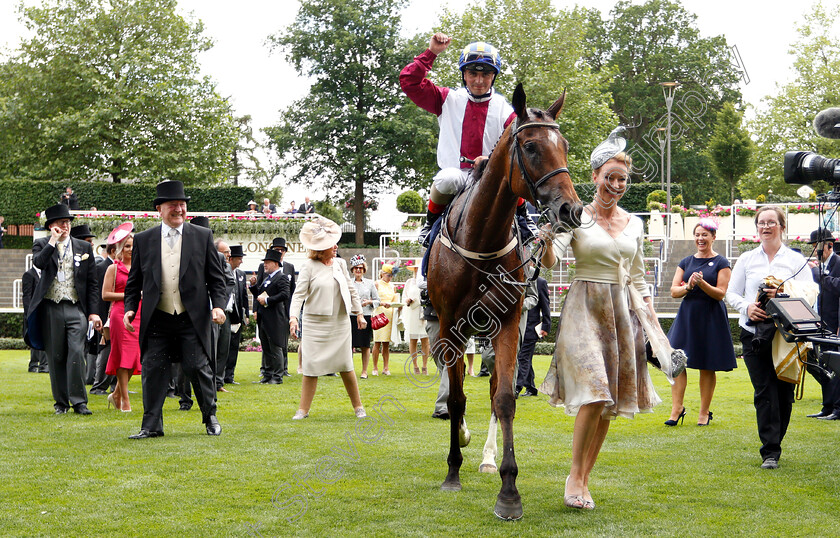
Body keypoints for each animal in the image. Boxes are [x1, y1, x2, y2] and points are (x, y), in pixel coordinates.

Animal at [426, 81, 584, 516]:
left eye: (564, 145)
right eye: (530, 146)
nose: (572, 208)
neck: (480, 237)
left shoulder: (510, 322)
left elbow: (504, 397)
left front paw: (508, 489)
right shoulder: (450, 324)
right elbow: (457, 397)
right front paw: (452, 471)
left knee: (495, 384)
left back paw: (485, 457)